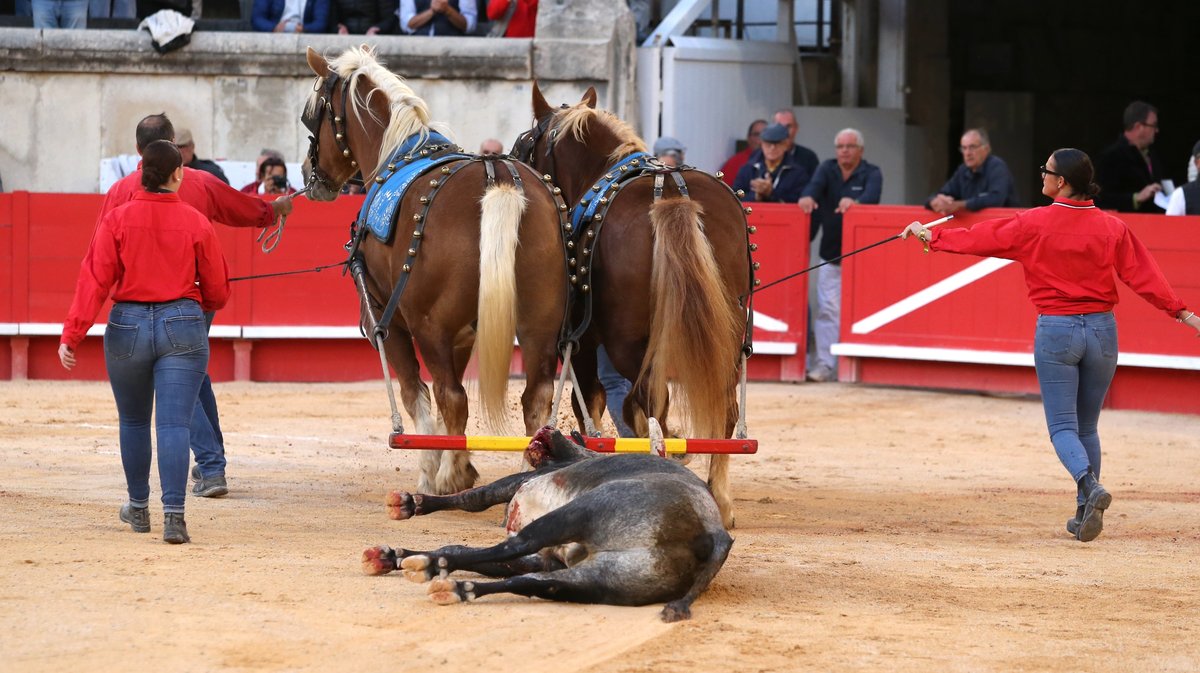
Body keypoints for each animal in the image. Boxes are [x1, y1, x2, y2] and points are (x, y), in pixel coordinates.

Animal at [297, 44, 564, 491]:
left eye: (311, 113)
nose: (308, 173)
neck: (401, 151)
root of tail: (497, 177)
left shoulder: (389, 321)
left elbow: (415, 394)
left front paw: (434, 470)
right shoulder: (462, 334)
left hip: (429, 327)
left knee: (451, 395)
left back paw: (448, 476)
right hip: (538, 328)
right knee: (534, 398)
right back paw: (529, 474)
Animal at [360, 424, 729, 619]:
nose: (549, 429)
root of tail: (712, 532)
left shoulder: (521, 483)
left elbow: (475, 501)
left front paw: (410, 511)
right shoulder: (546, 558)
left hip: (581, 511)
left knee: (515, 545)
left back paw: (425, 567)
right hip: (608, 579)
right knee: (535, 583)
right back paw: (456, 587)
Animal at [513, 83, 748, 525]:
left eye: (525, 145)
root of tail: (672, 196)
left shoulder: (584, 342)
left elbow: (589, 402)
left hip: (626, 342)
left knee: (644, 405)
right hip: (726, 334)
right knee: (718, 409)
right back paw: (720, 498)